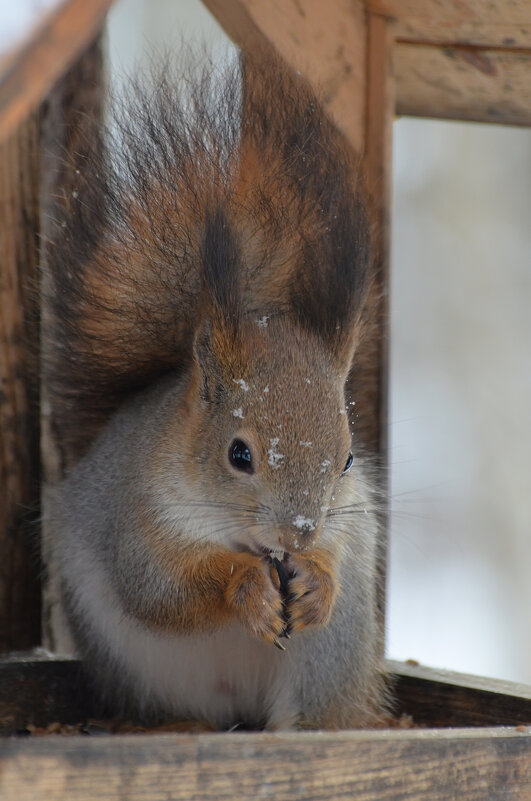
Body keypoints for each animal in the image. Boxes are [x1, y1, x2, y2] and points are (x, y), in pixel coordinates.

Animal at [44, 47, 386, 728]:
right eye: (239, 454)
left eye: (347, 460)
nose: (300, 534)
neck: (244, 539)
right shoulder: (136, 514)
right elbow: (158, 587)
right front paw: (247, 588)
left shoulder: (349, 523)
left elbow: (334, 559)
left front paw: (316, 582)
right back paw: (183, 726)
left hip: (331, 656)